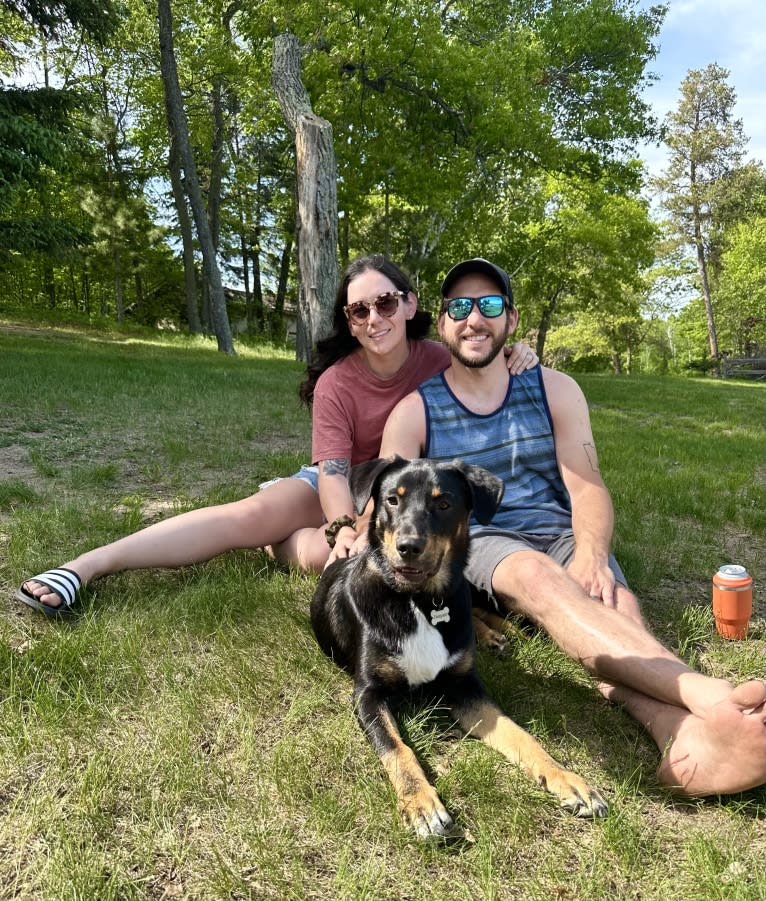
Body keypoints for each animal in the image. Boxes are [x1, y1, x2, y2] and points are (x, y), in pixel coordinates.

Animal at [308, 454, 608, 840]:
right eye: (392, 500)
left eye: (443, 504)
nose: (408, 547)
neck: (420, 602)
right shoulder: (367, 694)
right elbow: (397, 749)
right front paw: (421, 804)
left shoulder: (466, 687)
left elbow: (520, 734)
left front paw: (567, 779)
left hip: (469, 588)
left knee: (480, 606)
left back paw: (502, 633)